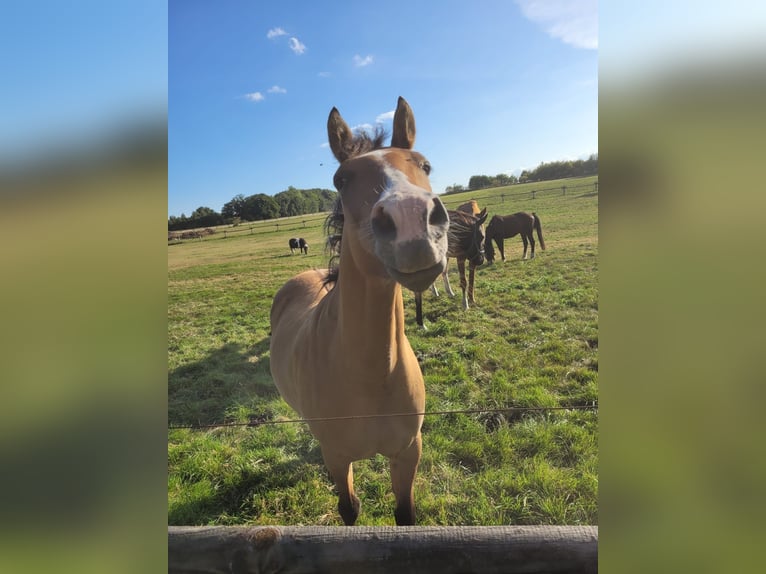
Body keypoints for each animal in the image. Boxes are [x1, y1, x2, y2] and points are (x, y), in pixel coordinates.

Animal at [269, 97, 449, 526]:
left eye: (425, 165)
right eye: (341, 179)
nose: (412, 221)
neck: (372, 374)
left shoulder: (408, 453)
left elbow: (405, 513)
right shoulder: (338, 458)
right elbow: (349, 509)